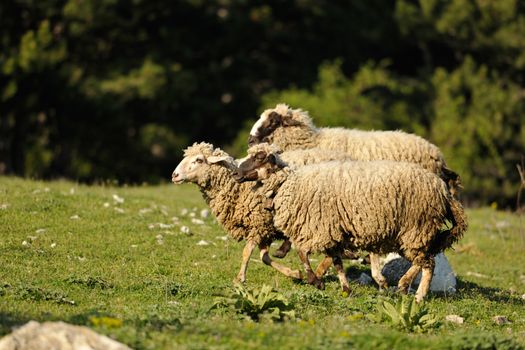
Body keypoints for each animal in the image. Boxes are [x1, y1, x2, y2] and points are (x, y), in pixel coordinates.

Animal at [172, 142, 300, 284]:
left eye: (199, 160)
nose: (174, 175)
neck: (238, 190)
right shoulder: (262, 228)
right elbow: (264, 258)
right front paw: (294, 273)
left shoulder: (258, 225)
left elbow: (247, 252)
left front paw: (240, 278)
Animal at [234, 144, 466, 302]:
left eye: (259, 157)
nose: (236, 173)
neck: (289, 183)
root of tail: (443, 190)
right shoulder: (333, 231)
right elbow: (336, 261)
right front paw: (345, 287)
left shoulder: (320, 228)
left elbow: (302, 253)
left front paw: (315, 280)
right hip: (411, 233)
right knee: (423, 259)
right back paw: (402, 285)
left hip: (417, 227)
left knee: (428, 262)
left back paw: (417, 295)